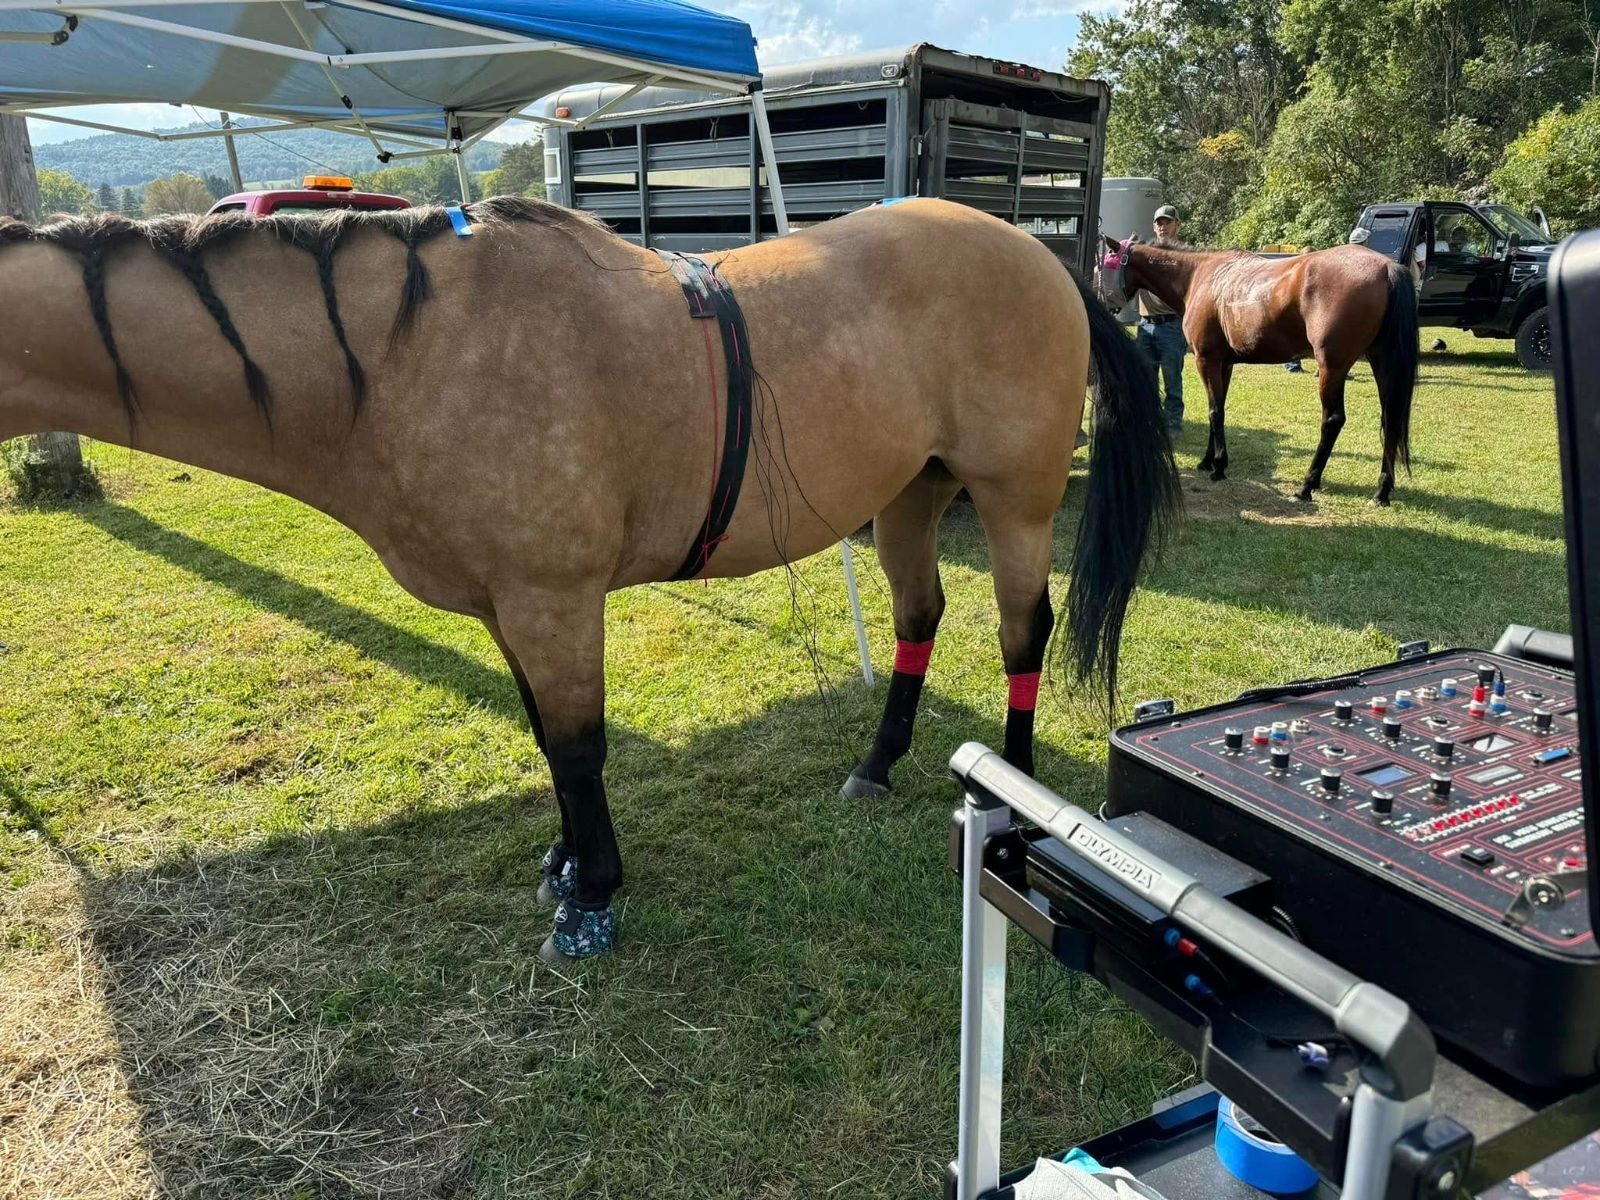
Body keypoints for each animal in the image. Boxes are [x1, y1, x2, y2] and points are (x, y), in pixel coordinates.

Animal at [0, 197, 1179, 962]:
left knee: (1024, 630)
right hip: (911, 493)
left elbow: (577, 747)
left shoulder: (551, 598)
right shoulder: (509, 609)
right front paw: (566, 864)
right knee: (919, 614)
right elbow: (545, 740)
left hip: (1014, 499)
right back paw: (877, 763)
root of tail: (1037, 254)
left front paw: (593, 895)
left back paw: (1013, 787)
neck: (399, 356)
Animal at [1098, 236, 1419, 504]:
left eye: (1102, 265)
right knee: (1391, 418)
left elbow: (1214, 411)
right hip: (1382, 362)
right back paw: (1381, 491)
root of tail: (1387, 267)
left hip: (1332, 366)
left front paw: (1218, 467)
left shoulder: (1206, 359)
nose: (1102, 305)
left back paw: (1307, 485)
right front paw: (1208, 460)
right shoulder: (1224, 363)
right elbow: (1218, 409)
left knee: (1333, 420)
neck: (1199, 276)